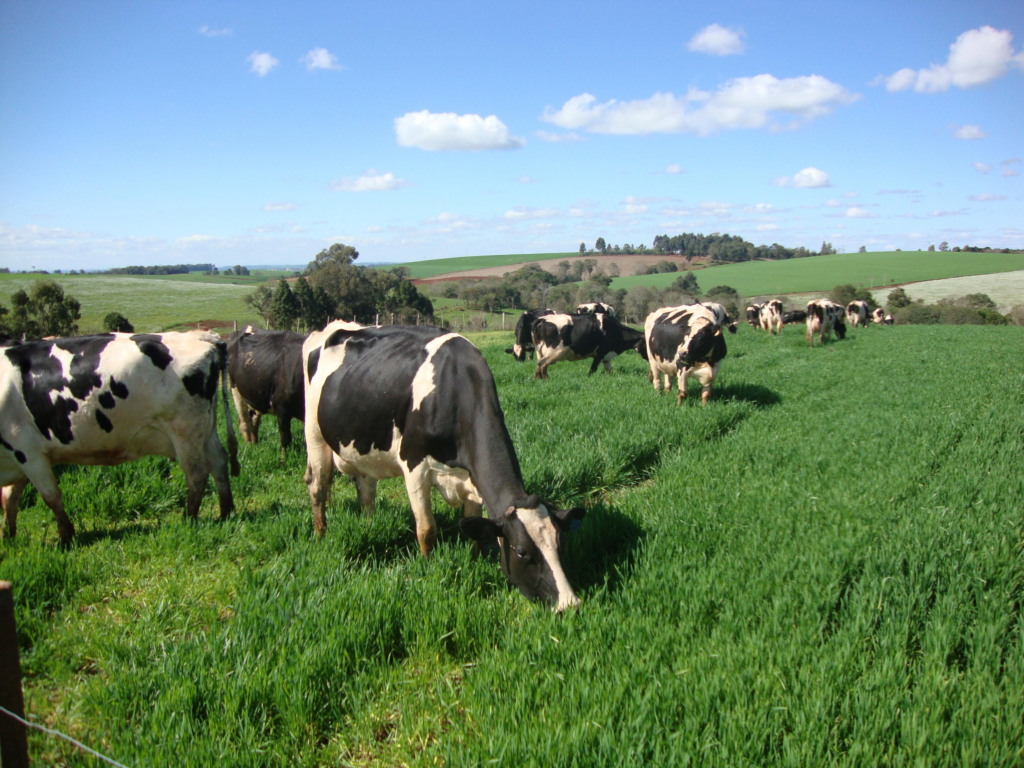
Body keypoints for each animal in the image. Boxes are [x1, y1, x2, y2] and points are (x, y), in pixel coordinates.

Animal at [1, 333, 239, 544]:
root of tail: (199, 335)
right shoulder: (18, 457)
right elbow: (9, 498)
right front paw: (7, 536)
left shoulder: (29, 453)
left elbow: (50, 496)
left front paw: (66, 538)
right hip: (204, 430)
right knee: (219, 461)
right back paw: (226, 512)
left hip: (184, 431)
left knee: (197, 472)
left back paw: (188, 519)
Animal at [230, 323, 309, 456]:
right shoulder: (281, 407)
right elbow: (285, 438)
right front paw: (283, 459)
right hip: (236, 390)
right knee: (244, 421)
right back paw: (248, 446)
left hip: (256, 395)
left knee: (254, 420)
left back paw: (255, 445)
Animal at [303, 323, 589, 614]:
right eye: (522, 552)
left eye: (561, 543)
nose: (570, 604)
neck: (453, 391)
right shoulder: (414, 466)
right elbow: (426, 529)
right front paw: (427, 567)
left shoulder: (472, 481)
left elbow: (474, 530)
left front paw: (474, 560)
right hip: (314, 432)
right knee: (317, 487)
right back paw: (321, 534)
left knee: (366, 491)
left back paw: (370, 525)